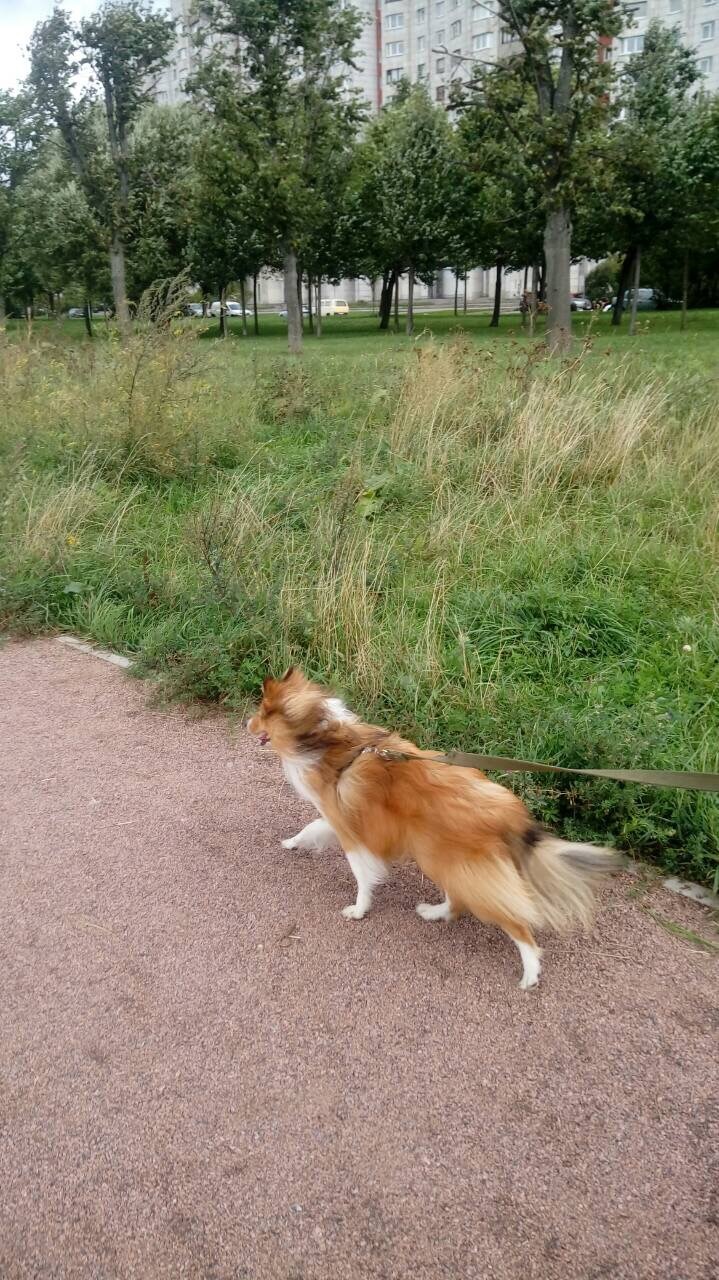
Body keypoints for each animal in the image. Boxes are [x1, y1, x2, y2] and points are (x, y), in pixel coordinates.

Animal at [245, 670, 616, 988]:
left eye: (262, 712)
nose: (246, 724)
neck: (323, 739)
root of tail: (509, 813)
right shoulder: (336, 817)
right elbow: (311, 828)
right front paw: (291, 843)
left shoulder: (350, 831)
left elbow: (361, 875)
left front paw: (358, 910)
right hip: (445, 859)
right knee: (456, 903)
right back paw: (432, 913)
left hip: (450, 862)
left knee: (514, 924)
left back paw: (530, 972)